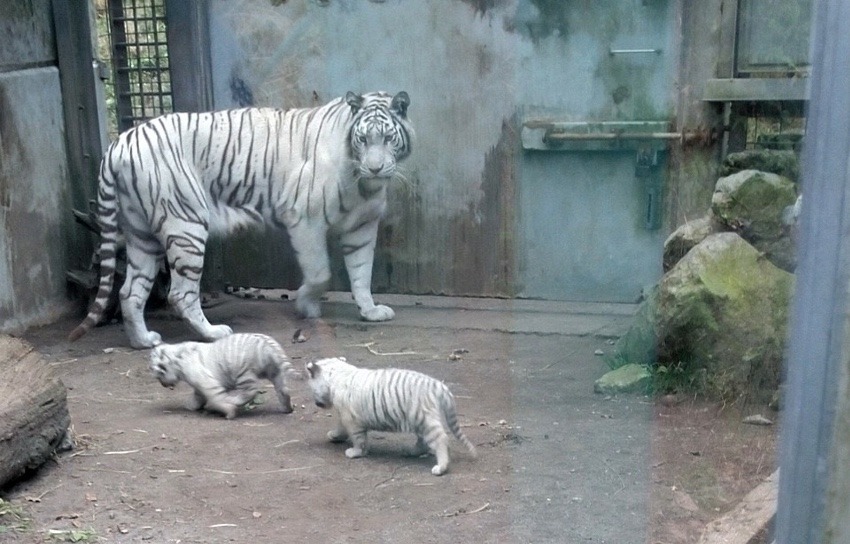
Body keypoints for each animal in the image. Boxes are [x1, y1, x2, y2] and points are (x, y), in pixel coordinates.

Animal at [68, 91, 410, 348]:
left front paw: (370, 310)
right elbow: (320, 273)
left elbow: (361, 272)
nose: (375, 168)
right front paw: (307, 305)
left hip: (141, 235)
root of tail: (119, 142)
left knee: (129, 292)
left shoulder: (362, 227)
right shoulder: (304, 218)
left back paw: (144, 341)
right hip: (186, 226)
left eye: (387, 139)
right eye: (363, 140)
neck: (363, 183)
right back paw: (213, 333)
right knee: (180, 293)